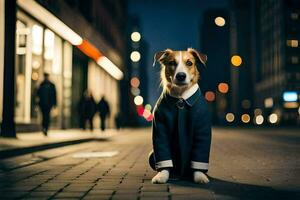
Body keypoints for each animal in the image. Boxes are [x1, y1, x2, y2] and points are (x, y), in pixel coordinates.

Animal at [149, 47, 211, 184]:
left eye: (189, 63)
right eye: (172, 63)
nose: (181, 76)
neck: (181, 97)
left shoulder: (202, 129)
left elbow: (200, 152)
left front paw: (199, 176)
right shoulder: (160, 129)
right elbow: (163, 152)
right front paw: (162, 175)